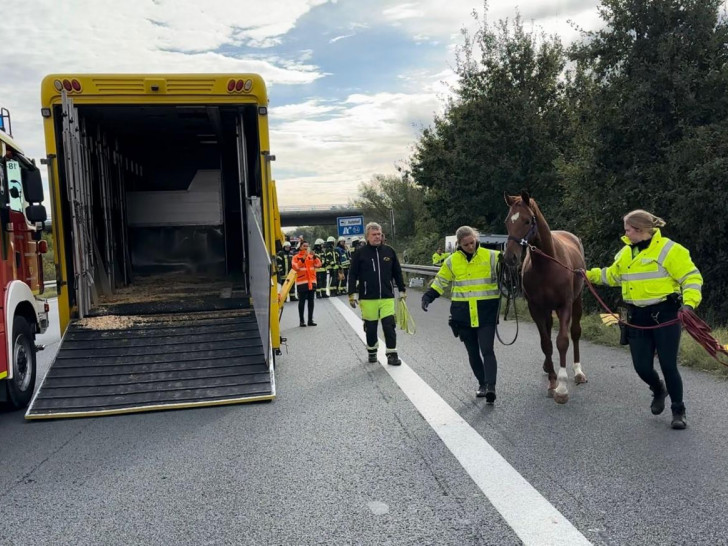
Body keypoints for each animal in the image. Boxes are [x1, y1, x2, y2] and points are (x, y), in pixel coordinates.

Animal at [504, 190, 588, 400]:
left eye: (527, 221)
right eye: (508, 221)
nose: (510, 257)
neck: (548, 265)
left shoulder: (565, 305)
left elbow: (562, 342)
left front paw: (562, 388)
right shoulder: (536, 308)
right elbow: (546, 344)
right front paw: (552, 382)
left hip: (577, 301)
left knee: (575, 333)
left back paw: (578, 371)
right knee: (549, 333)